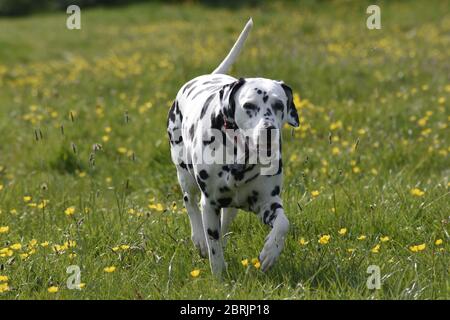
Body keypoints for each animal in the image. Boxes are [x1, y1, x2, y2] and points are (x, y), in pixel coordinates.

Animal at [166, 18, 298, 276]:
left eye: (279, 104)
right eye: (249, 105)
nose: (269, 130)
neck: (241, 159)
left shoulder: (268, 203)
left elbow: (283, 223)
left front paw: (271, 251)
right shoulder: (209, 203)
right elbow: (214, 247)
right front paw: (218, 275)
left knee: (226, 218)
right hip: (184, 174)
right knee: (190, 203)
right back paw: (199, 239)